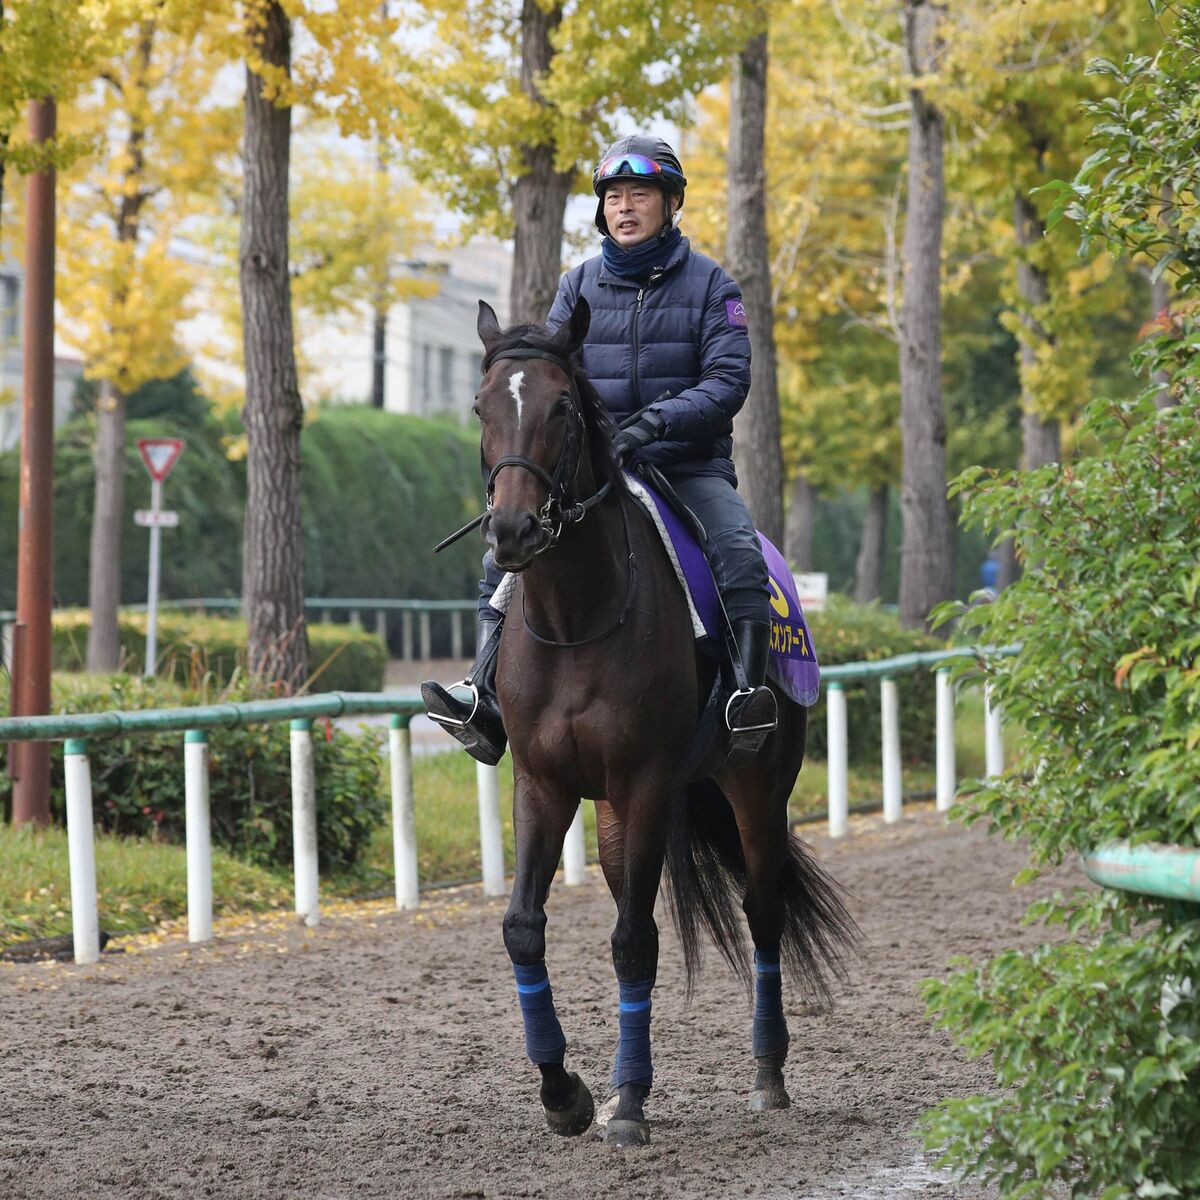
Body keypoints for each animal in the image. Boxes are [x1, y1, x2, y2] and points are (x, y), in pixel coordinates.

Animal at [468, 295, 854, 1147]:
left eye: (563, 407)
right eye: (480, 407)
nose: (511, 531)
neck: (578, 618)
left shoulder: (646, 782)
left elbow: (634, 940)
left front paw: (630, 1104)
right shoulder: (542, 783)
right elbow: (523, 927)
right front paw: (567, 1094)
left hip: (756, 787)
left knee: (763, 910)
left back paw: (768, 1073)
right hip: (616, 810)